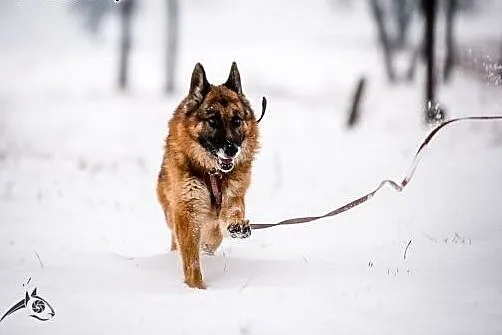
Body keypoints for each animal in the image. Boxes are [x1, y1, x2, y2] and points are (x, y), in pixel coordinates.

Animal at [156, 62, 258, 288]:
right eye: (213, 120)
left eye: (236, 120)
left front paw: (238, 225)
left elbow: (233, 212)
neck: (214, 174)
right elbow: (191, 259)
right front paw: (196, 288)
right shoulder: (187, 212)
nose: (231, 149)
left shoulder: (233, 198)